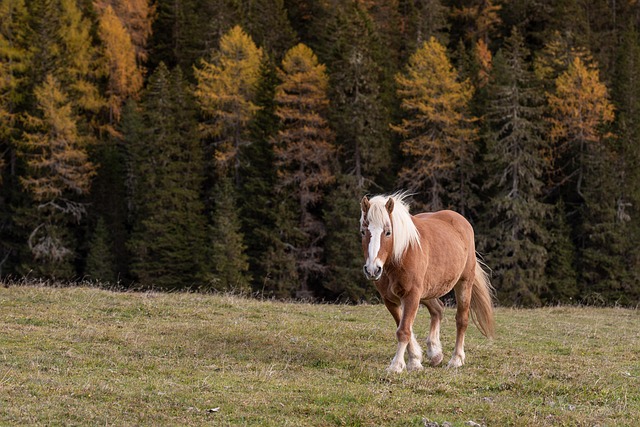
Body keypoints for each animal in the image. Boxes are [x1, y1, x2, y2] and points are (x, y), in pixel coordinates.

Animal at [359, 192, 495, 372]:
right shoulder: (390, 300)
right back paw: (435, 353)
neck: (402, 254)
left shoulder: (411, 295)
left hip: (464, 283)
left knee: (461, 320)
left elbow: (404, 330)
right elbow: (404, 327)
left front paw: (396, 365)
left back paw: (456, 359)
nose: (373, 270)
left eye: (388, 232)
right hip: (427, 291)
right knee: (438, 310)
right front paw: (415, 360)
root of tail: (461, 220)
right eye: (363, 232)